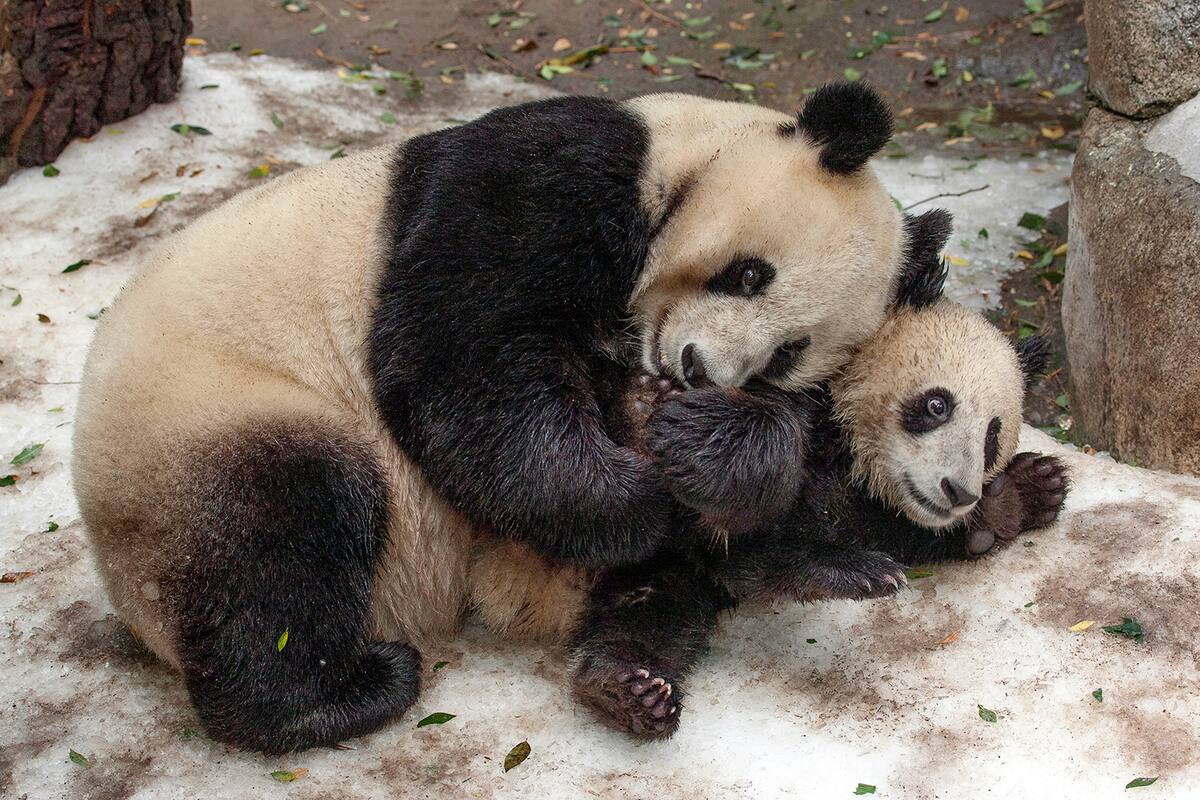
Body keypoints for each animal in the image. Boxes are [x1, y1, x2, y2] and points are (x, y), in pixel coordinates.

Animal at [72, 84, 939, 752]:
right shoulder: (548, 181)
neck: (685, 152)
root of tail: (134, 607)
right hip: (203, 419)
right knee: (280, 531)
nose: (695, 369)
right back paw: (338, 696)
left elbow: (791, 445)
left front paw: (701, 454)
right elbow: (464, 363)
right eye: (750, 274)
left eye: (789, 352)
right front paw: (636, 496)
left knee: (672, 583)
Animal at [471, 299, 1070, 739]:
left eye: (992, 435)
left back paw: (627, 690)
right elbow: (751, 521)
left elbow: (893, 527)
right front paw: (848, 568)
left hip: (650, 572)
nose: (958, 491)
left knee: (650, 616)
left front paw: (1026, 491)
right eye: (937, 405)